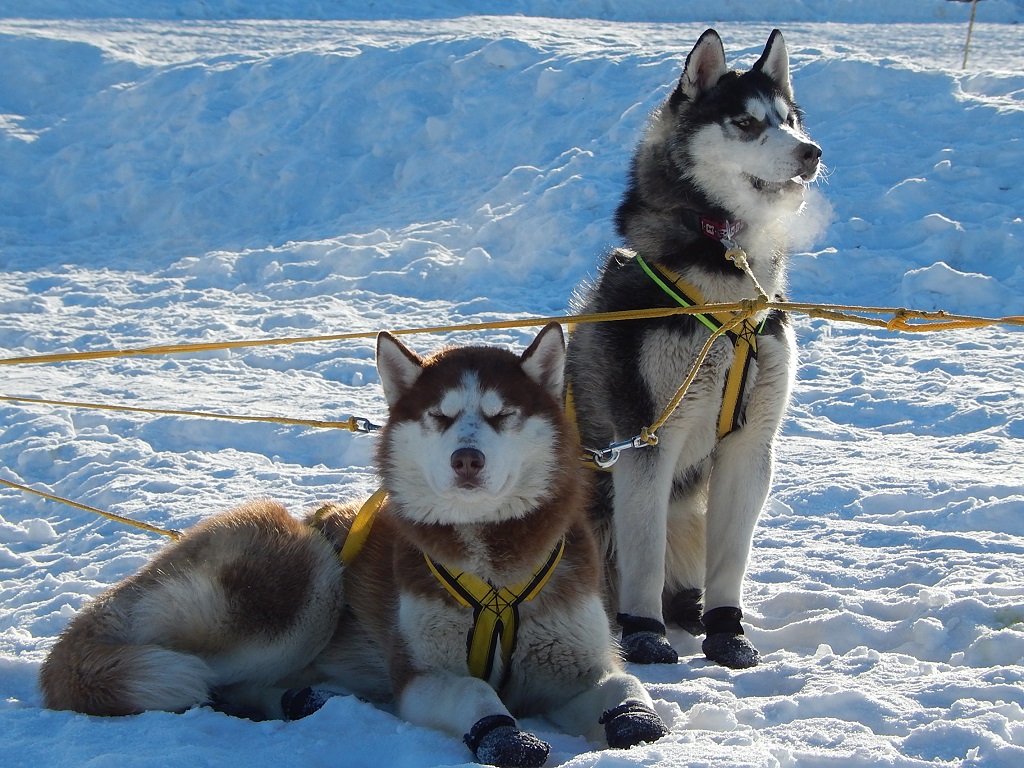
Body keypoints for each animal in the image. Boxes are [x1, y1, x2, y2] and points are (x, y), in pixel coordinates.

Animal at [39, 323, 667, 768]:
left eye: (501, 415)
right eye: (441, 417)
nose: (467, 459)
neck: (493, 565)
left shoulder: (576, 663)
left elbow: (625, 686)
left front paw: (635, 720)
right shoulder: (418, 676)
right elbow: (474, 693)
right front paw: (504, 735)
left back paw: (303, 700)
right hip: (305, 576)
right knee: (216, 680)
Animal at [569, 28, 823, 667]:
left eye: (789, 119)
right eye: (746, 123)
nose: (811, 152)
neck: (728, 303)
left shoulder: (751, 445)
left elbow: (731, 558)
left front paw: (727, 631)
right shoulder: (646, 440)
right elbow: (644, 552)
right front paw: (644, 633)